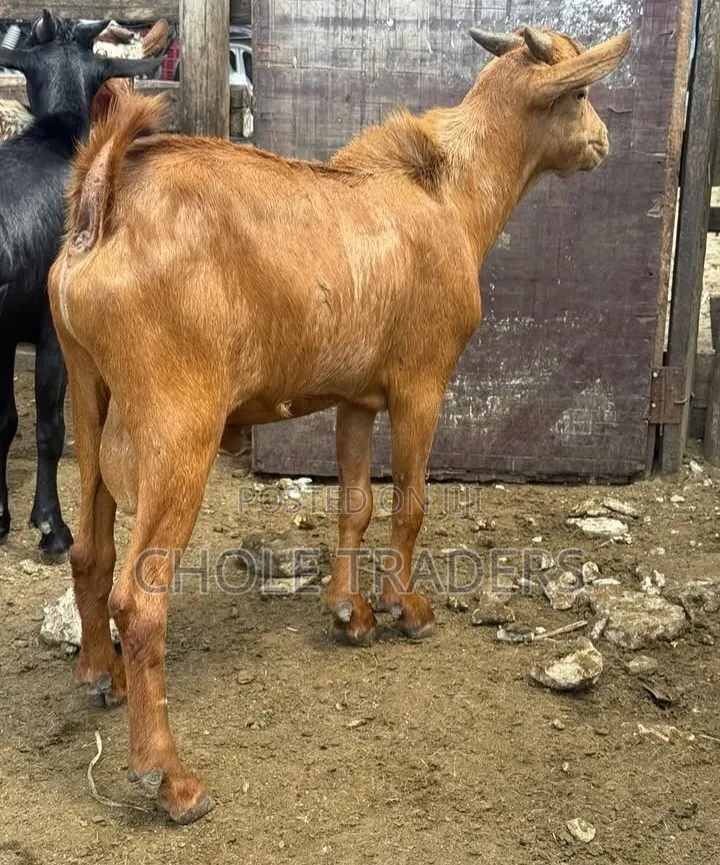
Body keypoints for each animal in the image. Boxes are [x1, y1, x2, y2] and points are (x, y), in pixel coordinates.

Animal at [50, 25, 630, 822]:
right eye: (577, 93)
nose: (602, 141)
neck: (448, 193)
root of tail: (102, 200)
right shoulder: (422, 381)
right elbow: (410, 503)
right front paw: (403, 610)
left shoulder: (356, 397)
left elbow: (355, 502)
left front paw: (348, 614)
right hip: (178, 424)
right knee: (140, 600)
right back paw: (170, 777)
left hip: (88, 390)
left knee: (89, 550)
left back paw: (97, 675)